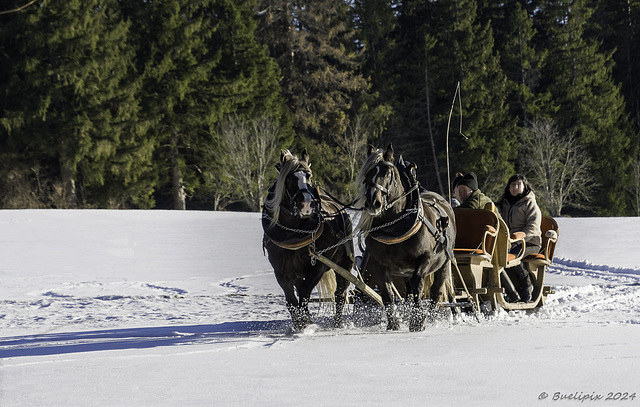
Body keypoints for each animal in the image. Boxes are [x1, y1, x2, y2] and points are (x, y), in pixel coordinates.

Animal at [260, 150, 352, 332]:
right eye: (288, 179)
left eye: (309, 176)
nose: (307, 204)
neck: (292, 232)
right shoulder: (281, 271)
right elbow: (291, 301)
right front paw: (299, 324)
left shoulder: (317, 268)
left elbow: (304, 295)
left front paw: (305, 323)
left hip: (344, 263)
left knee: (340, 294)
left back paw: (338, 324)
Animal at [356, 145, 456, 334]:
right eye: (367, 174)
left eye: (388, 173)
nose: (373, 202)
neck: (394, 228)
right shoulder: (379, 264)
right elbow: (387, 292)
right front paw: (393, 323)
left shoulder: (424, 260)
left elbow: (419, 287)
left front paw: (417, 322)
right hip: (405, 272)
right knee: (408, 292)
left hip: (444, 263)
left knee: (436, 290)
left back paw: (431, 318)